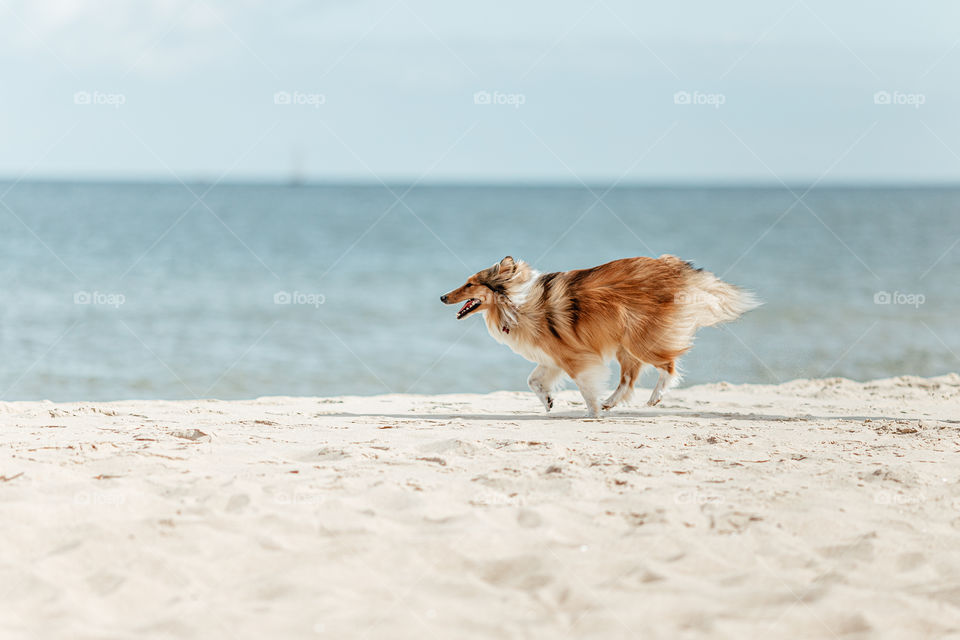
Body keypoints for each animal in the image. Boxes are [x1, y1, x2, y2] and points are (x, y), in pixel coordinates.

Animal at [438, 258, 760, 418]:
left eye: (470, 284)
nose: (441, 297)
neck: (515, 303)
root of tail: (674, 267)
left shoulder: (573, 357)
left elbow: (584, 386)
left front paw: (591, 413)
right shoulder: (552, 357)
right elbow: (533, 381)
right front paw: (549, 402)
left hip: (639, 340)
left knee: (668, 365)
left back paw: (654, 397)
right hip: (625, 345)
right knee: (629, 379)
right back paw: (610, 403)